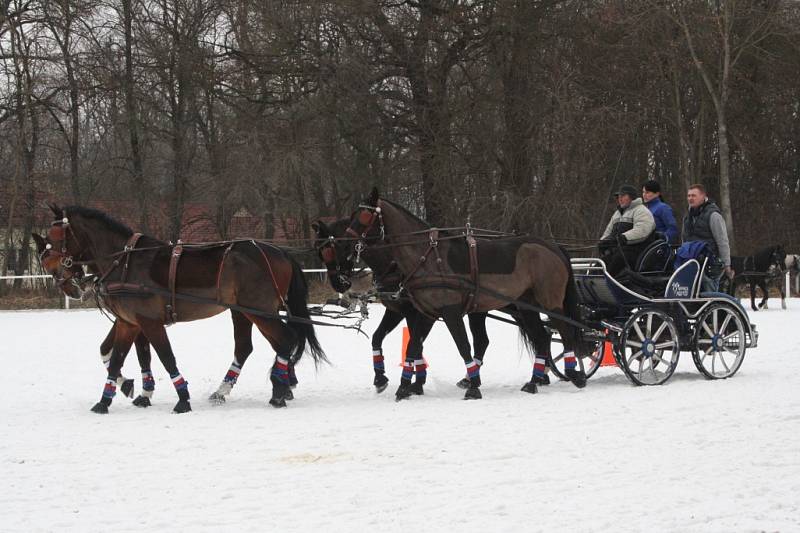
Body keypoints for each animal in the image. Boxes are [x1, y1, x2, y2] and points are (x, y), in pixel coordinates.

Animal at [36, 204, 324, 412]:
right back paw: (247, 387)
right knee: (251, 346)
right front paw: (107, 399)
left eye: (55, 237)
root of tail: (280, 252)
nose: (54, 271)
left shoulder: (148, 321)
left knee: (285, 339)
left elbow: (165, 357)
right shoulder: (129, 323)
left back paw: (279, 390)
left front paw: (182, 398)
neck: (125, 261)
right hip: (244, 310)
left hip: (257, 309)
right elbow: (116, 357)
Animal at [314, 217, 496, 394]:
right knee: (482, 340)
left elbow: (416, 344)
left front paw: (416, 381)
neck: (392, 263)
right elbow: (378, 337)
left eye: (331, 250)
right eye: (320, 254)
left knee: (481, 340)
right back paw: (468, 379)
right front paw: (381, 378)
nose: (339, 285)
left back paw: (469, 379)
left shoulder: (411, 312)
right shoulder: (396, 311)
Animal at [340, 187, 584, 400]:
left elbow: (463, 345)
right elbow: (414, 346)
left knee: (565, 331)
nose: (347, 245)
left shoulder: (450, 311)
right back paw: (534, 381)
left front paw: (473, 386)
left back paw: (574, 373)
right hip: (526, 306)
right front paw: (404, 388)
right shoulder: (426, 313)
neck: (426, 258)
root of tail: (553, 247)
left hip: (550, 302)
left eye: (364, 216)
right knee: (542, 337)